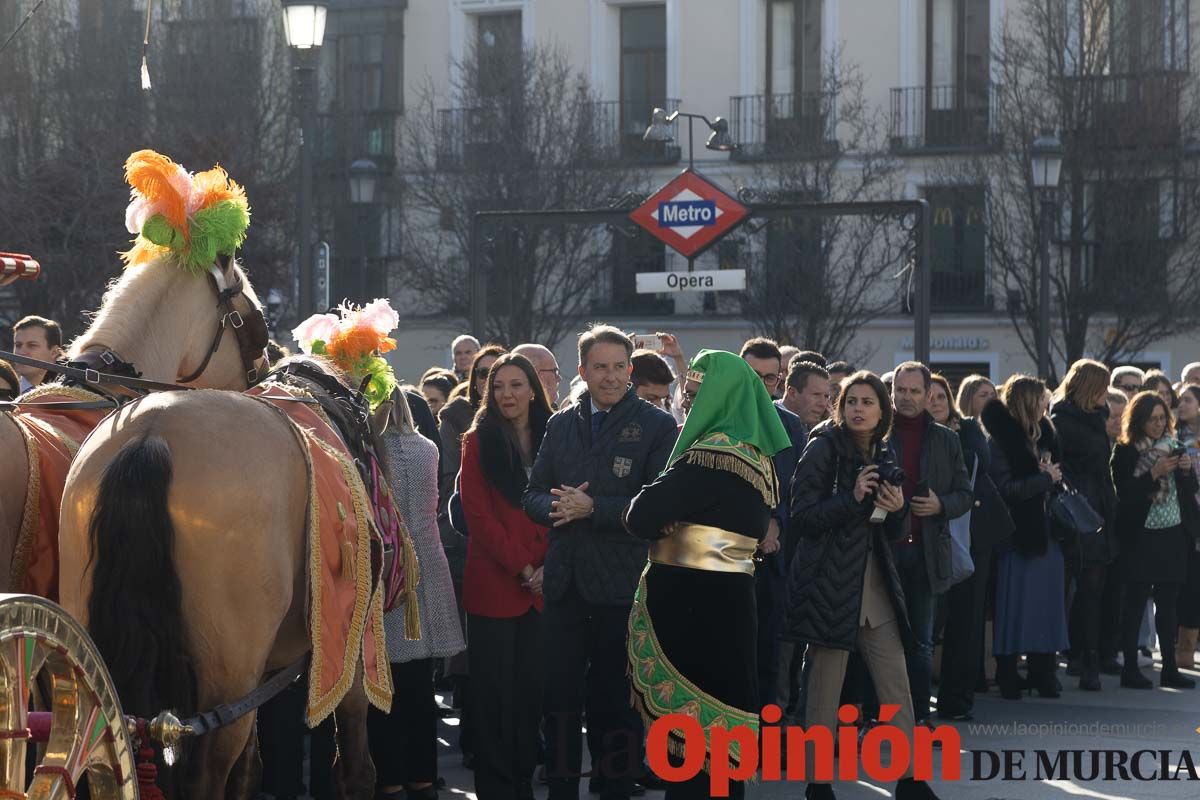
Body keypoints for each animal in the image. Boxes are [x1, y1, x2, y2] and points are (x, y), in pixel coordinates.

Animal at [58, 359, 381, 796]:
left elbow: (248, 771)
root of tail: (151, 436)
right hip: (229, 680)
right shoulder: (348, 643)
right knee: (204, 776)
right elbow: (354, 760)